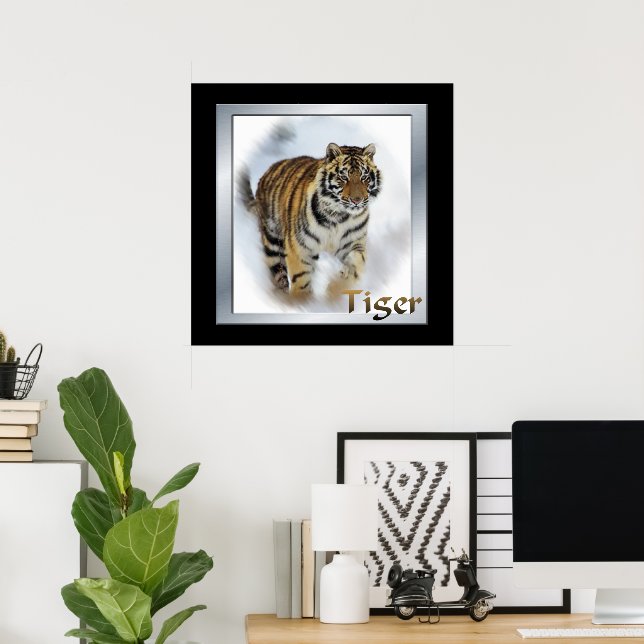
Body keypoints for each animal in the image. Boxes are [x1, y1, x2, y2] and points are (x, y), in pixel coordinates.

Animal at [239, 143, 381, 296]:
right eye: (343, 177)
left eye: (364, 177)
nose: (357, 200)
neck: (339, 217)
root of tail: (267, 173)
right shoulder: (300, 247)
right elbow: (301, 279)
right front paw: (302, 298)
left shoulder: (354, 242)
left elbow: (357, 263)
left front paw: (336, 287)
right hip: (272, 242)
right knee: (278, 275)